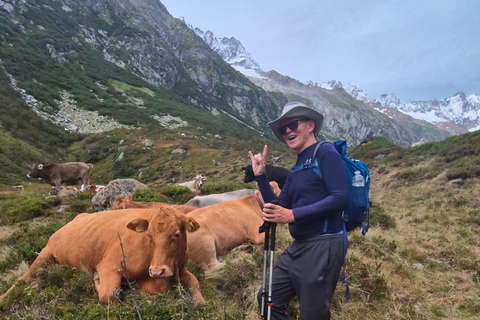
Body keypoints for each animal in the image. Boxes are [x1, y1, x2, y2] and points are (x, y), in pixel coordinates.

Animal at [0, 206, 204, 304]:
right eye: (148, 235)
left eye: (176, 234)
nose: (157, 271)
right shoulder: (109, 266)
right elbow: (109, 294)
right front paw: (98, 281)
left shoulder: (180, 267)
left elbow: (195, 283)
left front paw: (199, 300)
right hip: (45, 254)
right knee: (24, 278)